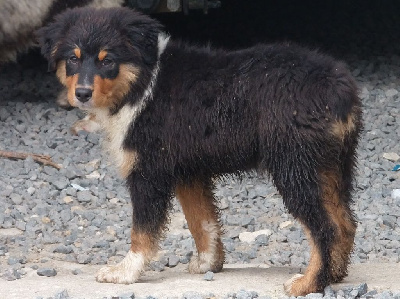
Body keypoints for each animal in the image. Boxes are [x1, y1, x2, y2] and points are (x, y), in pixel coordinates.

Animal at [37, 7, 362, 298]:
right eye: (73, 59)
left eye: (108, 62)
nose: (81, 94)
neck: (143, 83)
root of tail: (337, 86)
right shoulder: (189, 171)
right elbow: (202, 222)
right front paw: (209, 263)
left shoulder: (147, 172)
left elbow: (142, 231)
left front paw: (125, 272)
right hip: (332, 165)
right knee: (344, 222)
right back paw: (334, 274)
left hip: (294, 166)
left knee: (324, 227)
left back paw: (309, 284)